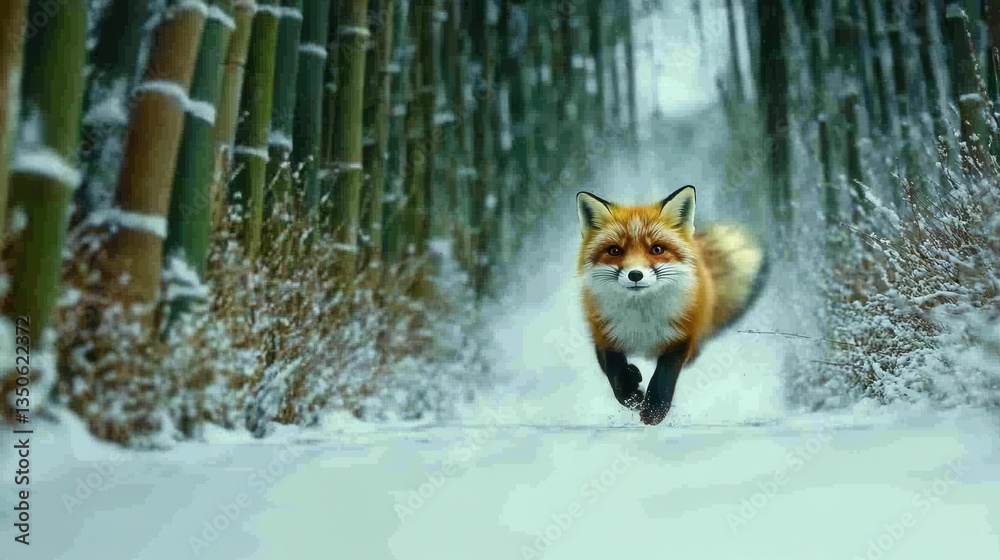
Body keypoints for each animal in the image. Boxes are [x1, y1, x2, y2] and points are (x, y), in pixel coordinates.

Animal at [576, 185, 769, 426]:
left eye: (657, 249)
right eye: (614, 251)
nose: (635, 275)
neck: (642, 323)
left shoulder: (681, 337)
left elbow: (664, 376)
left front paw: (655, 409)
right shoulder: (604, 334)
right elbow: (616, 372)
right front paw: (632, 393)